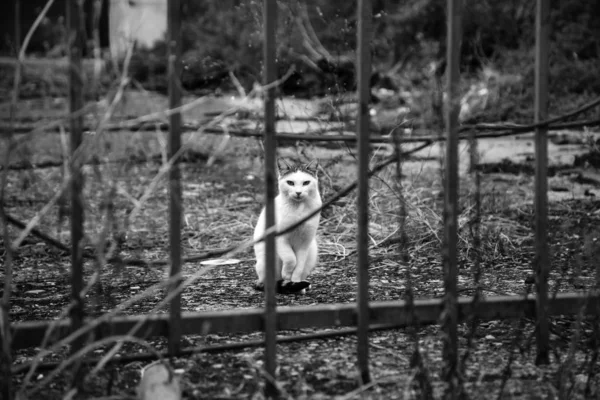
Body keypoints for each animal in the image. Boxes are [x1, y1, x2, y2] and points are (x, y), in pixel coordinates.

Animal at [251, 159, 322, 294]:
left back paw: (300, 286)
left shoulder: (304, 242)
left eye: (306, 182)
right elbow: (290, 258)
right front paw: (287, 276)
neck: (299, 209)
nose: (298, 192)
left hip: (312, 251)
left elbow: (299, 265)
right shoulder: (280, 238)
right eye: (290, 182)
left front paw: (294, 281)